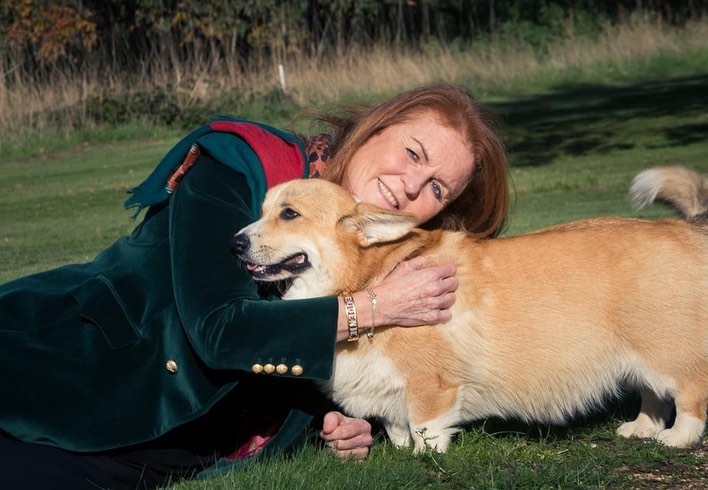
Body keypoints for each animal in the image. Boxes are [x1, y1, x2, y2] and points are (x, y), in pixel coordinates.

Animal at [231, 167, 704, 452]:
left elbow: (425, 431)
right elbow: (397, 430)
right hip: (640, 356)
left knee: (689, 396)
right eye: (263, 211)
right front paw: (400, 454)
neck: (368, 279)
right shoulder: (388, 398)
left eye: (289, 214)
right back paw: (642, 429)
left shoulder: (431, 387)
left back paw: (677, 439)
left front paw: (424, 460)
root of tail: (687, 229)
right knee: (652, 395)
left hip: (668, 351)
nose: (234, 242)